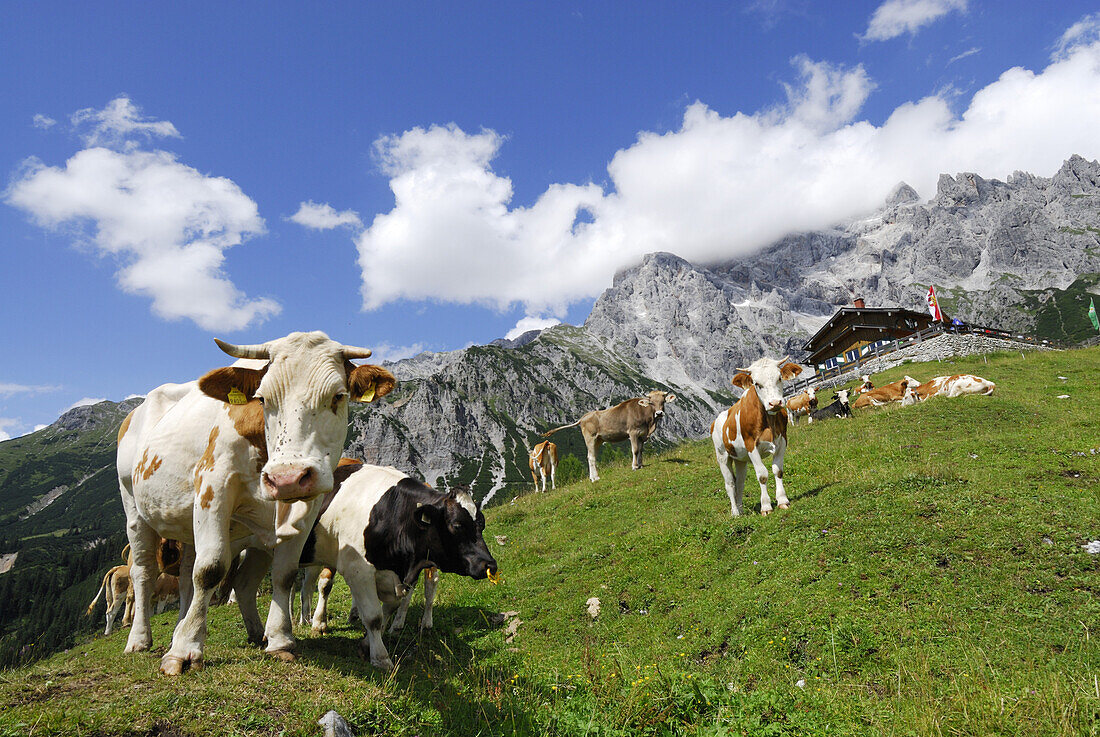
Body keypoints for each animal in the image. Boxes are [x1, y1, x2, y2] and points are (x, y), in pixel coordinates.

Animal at [114, 332, 396, 677]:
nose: (287, 477)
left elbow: (284, 574)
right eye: (262, 399)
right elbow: (210, 569)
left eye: (338, 396)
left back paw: (195, 626)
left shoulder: (309, 502)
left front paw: (280, 640)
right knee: (144, 572)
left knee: (189, 578)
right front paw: (183, 651)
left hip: (195, 524)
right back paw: (140, 639)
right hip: (133, 508)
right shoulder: (213, 487)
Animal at [297, 464, 495, 673]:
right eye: (457, 525)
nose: (490, 565)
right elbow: (373, 616)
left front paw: (366, 645)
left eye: (481, 523)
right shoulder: (357, 569)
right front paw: (381, 658)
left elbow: (389, 608)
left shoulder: (394, 576)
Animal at [543, 389, 673, 481]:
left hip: (598, 440)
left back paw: (592, 477)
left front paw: (641, 465)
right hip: (590, 438)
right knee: (591, 457)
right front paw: (634, 466)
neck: (649, 423)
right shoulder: (633, 432)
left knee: (590, 456)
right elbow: (635, 450)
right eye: (651, 403)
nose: (659, 413)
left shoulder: (642, 434)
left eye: (663, 401)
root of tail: (583, 417)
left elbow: (641, 450)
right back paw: (595, 478)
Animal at [708, 354, 805, 517]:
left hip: (740, 459)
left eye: (779, 378)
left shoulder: (783, 441)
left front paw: (783, 501)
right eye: (756, 383)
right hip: (722, 455)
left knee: (740, 482)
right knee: (730, 484)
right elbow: (762, 475)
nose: (775, 403)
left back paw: (741, 509)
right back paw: (735, 512)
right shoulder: (751, 445)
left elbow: (778, 471)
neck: (769, 422)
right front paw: (766, 507)